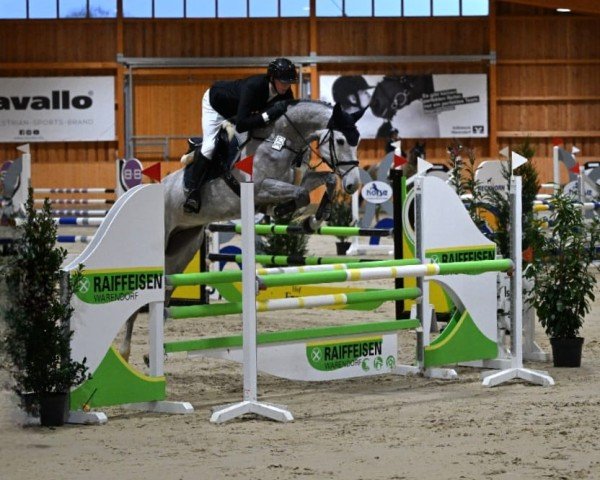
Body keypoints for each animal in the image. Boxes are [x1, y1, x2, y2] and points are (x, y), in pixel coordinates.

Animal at [117, 100, 360, 360]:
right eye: (341, 141)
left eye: (358, 141)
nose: (353, 185)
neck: (281, 140)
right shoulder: (260, 188)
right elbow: (301, 194)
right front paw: (285, 210)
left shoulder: (297, 180)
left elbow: (324, 182)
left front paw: (313, 219)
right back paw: (125, 351)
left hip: (183, 247)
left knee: (167, 289)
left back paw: (151, 353)